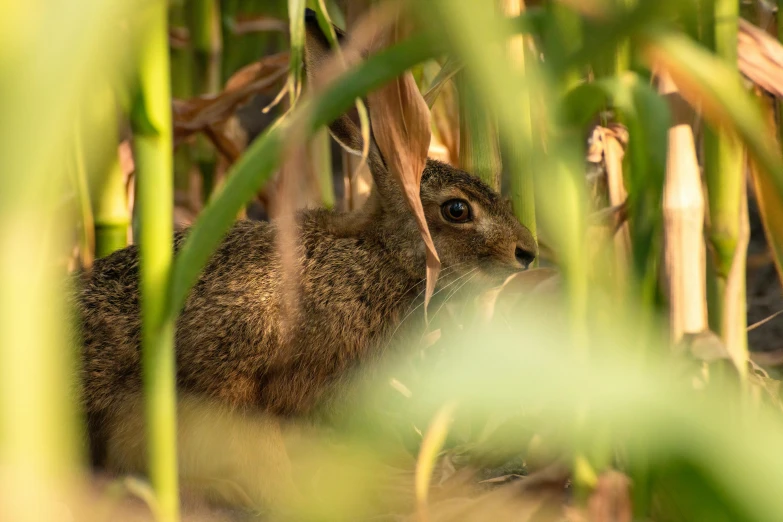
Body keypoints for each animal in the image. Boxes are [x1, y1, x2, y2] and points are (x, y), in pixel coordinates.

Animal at [73, 8, 540, 510]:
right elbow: (262, 451)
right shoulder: (239, 375)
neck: (377, 255)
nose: (527, 252)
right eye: (457, 210)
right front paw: (284, 495)